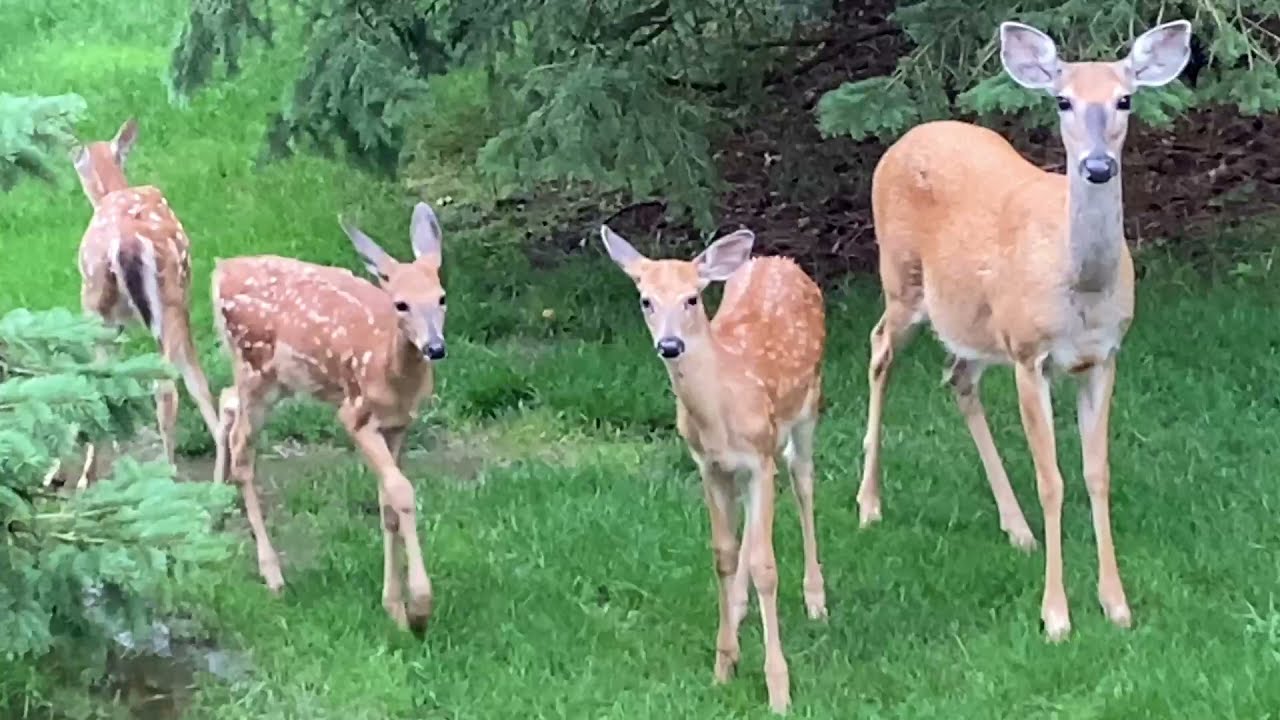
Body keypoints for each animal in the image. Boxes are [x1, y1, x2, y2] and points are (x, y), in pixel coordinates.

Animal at [211, 202, 447, 635]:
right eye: (400, 304)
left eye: (441, 297)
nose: (435, 347)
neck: (391, 375)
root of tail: (221, 269)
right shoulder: (354, 414)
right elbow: (402, 492)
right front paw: (420, 609)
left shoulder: (399, 424)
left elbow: (387, 503)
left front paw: (395, 608)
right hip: (256, 369)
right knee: (243, 451)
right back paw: (273, 575)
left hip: (271, 380)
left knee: (226, 401)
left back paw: (215, 508)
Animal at [600, 226, 828, 714]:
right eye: (645, 300)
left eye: (691, 298)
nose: (670, 345)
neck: (721, 409)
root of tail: (779, 260)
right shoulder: (708, 465)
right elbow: (723, 554)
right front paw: (724, 665)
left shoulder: (760, 458)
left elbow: (765, 566)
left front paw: (779, 689)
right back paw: (739, 611)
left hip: (808, 406)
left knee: (802, 480)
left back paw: (816, 599)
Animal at [855, 19, 1193, 641]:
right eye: (1062, 100)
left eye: (1125, 99)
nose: (1098, 166)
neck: (1079, 288)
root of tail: (904, 139)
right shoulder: (1029, 355)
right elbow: (1052, 479)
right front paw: (1056, 615)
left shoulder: (1103, 357)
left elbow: (1096, 473)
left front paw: (1116, 605)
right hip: (902, 279)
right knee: (880, 349)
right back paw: (869, 504)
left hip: (975, 322)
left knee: (957, 376)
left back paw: (1016, 528)